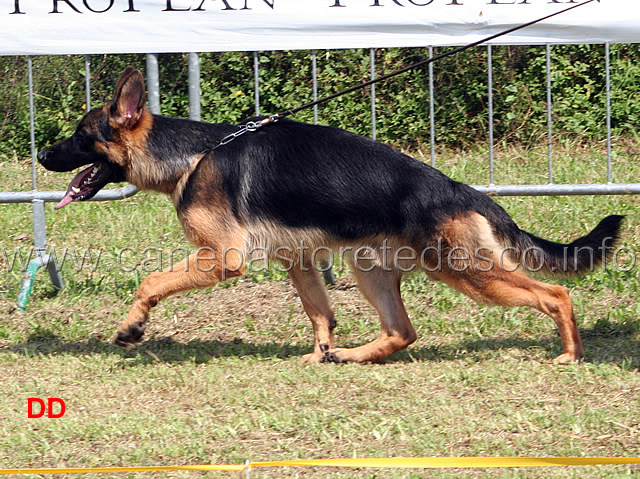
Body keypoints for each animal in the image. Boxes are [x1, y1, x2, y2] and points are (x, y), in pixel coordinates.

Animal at [37, 67, 624, 366]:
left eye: (79, 136)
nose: (41, 155)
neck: (193, 153)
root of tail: (463, 191)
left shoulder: (220, 260)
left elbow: (151, 280)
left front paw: (132, 327)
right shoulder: (298, 259)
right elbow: (319, 311)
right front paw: (319, 353)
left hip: (465, 271)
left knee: (556, 293)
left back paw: (571, 354)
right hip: (371, 269)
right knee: (403, 332)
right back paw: (351, 355)